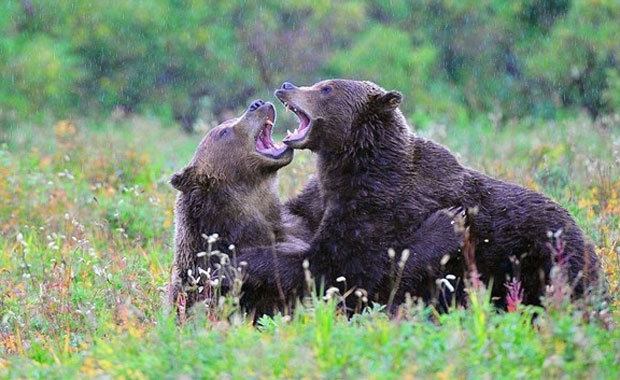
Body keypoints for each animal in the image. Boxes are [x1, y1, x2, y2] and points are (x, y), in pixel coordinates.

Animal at [272, 78, 600, 310]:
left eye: (326, 88)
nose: (287, 87)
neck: (353, 165)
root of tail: (583, 234)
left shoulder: (379, 206)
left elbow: (349, 268)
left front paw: (448, 222)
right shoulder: (325, 196)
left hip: (543, 257)